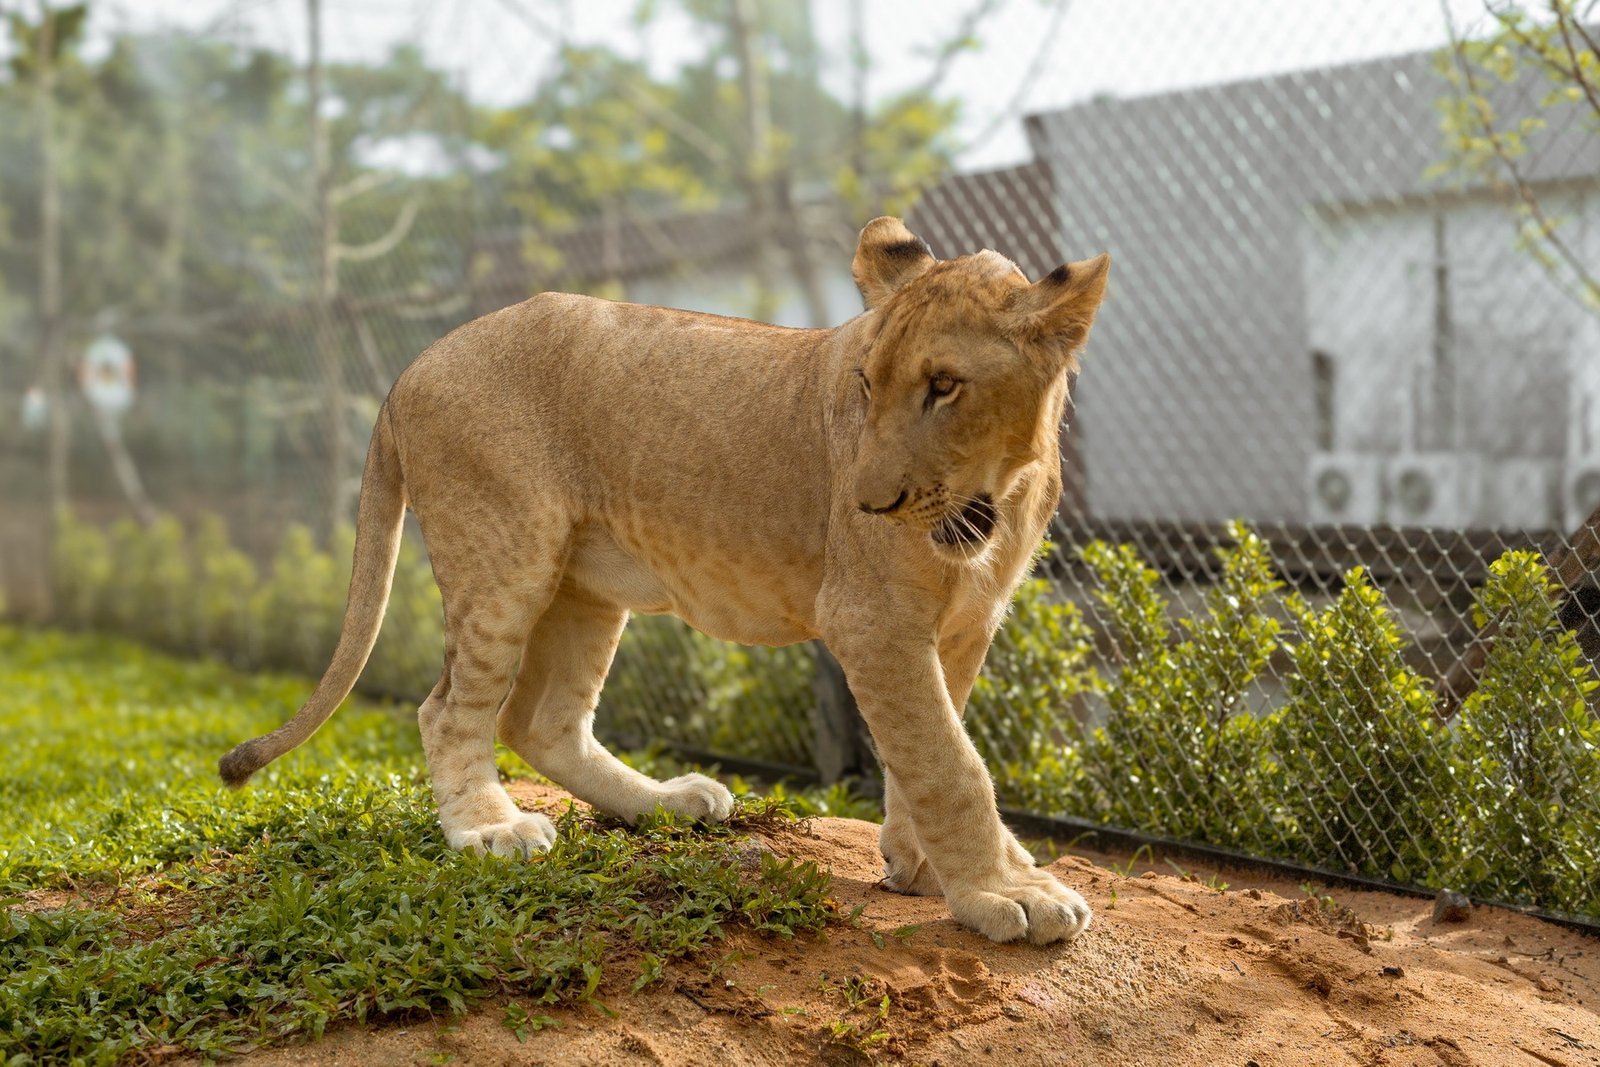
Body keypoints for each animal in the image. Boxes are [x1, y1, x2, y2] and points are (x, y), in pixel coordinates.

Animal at [219, 216, 1110, 945]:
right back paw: (490, 829)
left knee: (542, 721)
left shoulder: (962, 624)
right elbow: (949, 762)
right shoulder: (873, 620)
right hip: (504, 558)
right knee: (448, 710)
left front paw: (921, 862)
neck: (996, 495)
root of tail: (411, 366)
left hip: (584, 586)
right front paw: (1005, 891)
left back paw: (667, 803)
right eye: (865, 384)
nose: (866, 503)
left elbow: (925, 745)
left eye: (944, 386)